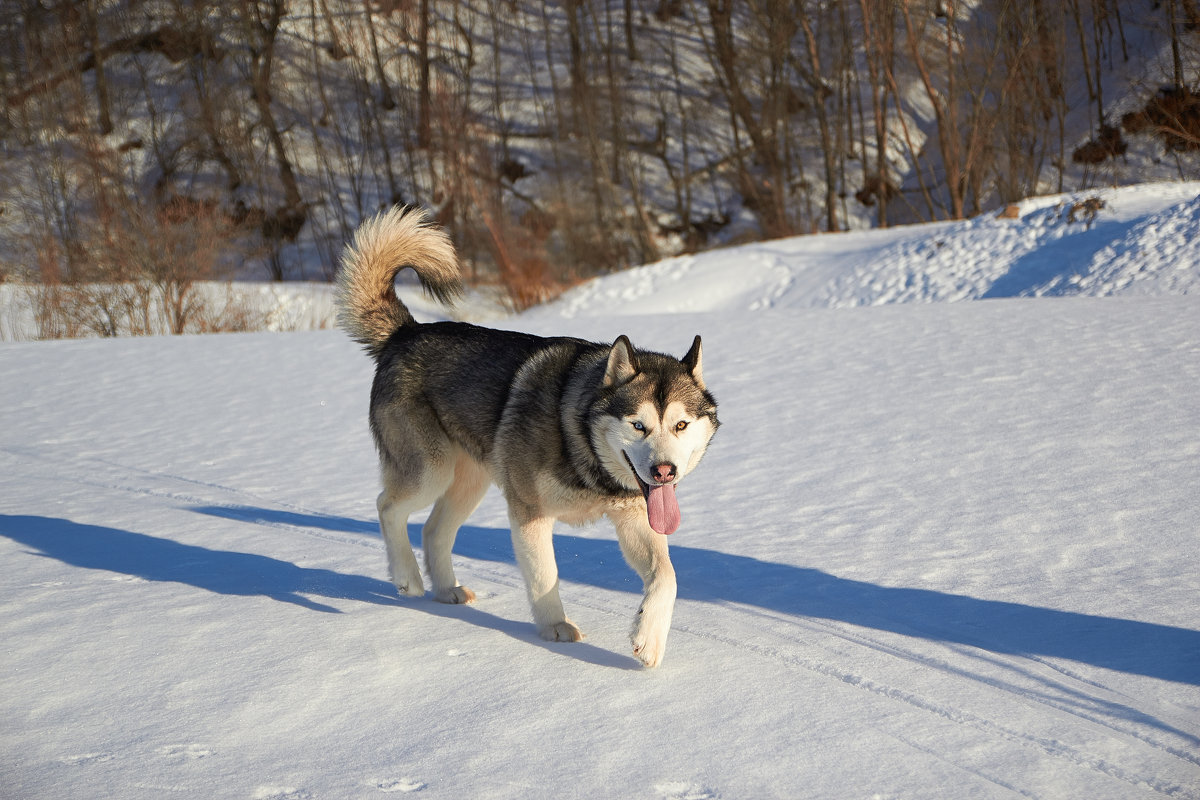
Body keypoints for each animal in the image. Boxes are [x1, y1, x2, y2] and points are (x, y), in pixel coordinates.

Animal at [333, 208, 715, 671]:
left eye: (680, 425)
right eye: (638, 425)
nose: (664, 472)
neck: (580, 443)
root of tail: (405, 333)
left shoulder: (634, 517)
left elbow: (667, 576)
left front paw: (649, 639)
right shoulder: (530, 512)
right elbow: (545, 575)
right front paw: (555, 630)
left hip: (470, 483)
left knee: (434, 529)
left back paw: (446, 591)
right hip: (430, 471)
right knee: (387, 506)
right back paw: (408, 576)